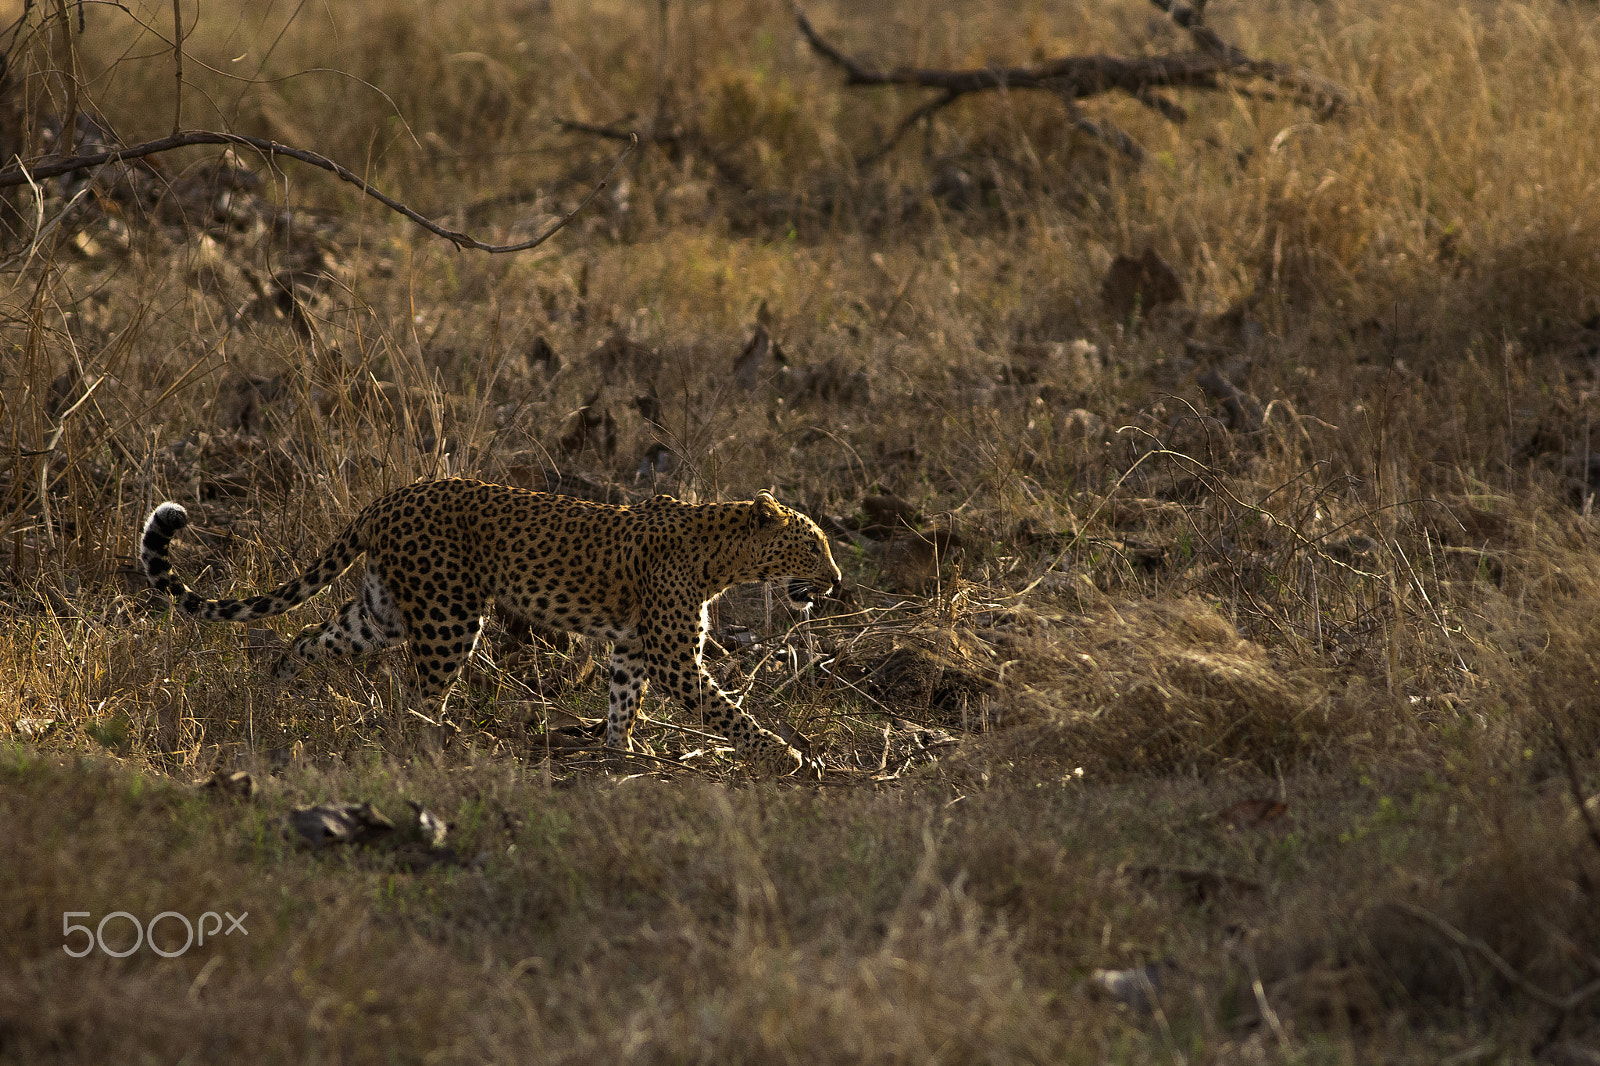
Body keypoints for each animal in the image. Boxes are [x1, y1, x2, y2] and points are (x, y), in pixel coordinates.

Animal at [142, 476, 844, 768]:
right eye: (813, 547)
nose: (837, 581)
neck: (721, 556)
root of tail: (386, 500)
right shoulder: (673, 656)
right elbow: (727, 712)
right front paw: (787, 756)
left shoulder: (632, 649)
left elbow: (623, 700)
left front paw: (621, 752)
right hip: (450, 615)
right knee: (416, 696)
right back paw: (441, 740)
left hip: (380, 613)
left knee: (306, 641)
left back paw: (273, 691)